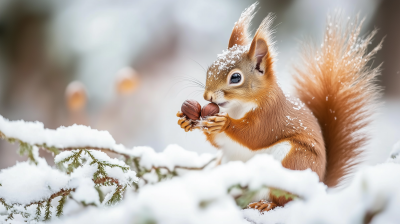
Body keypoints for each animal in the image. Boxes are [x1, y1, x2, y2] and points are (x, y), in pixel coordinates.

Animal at [177, 3, 382, 212]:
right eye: (210, 68)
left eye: (235, 77)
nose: (207, 96)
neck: (238, 108)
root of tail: (318, 186)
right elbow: (219, 142)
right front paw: (187, 121)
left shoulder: (271, 114)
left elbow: (255, 135)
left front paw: (224, 123)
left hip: (294, 162)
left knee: (285, 200)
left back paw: (266, 204)